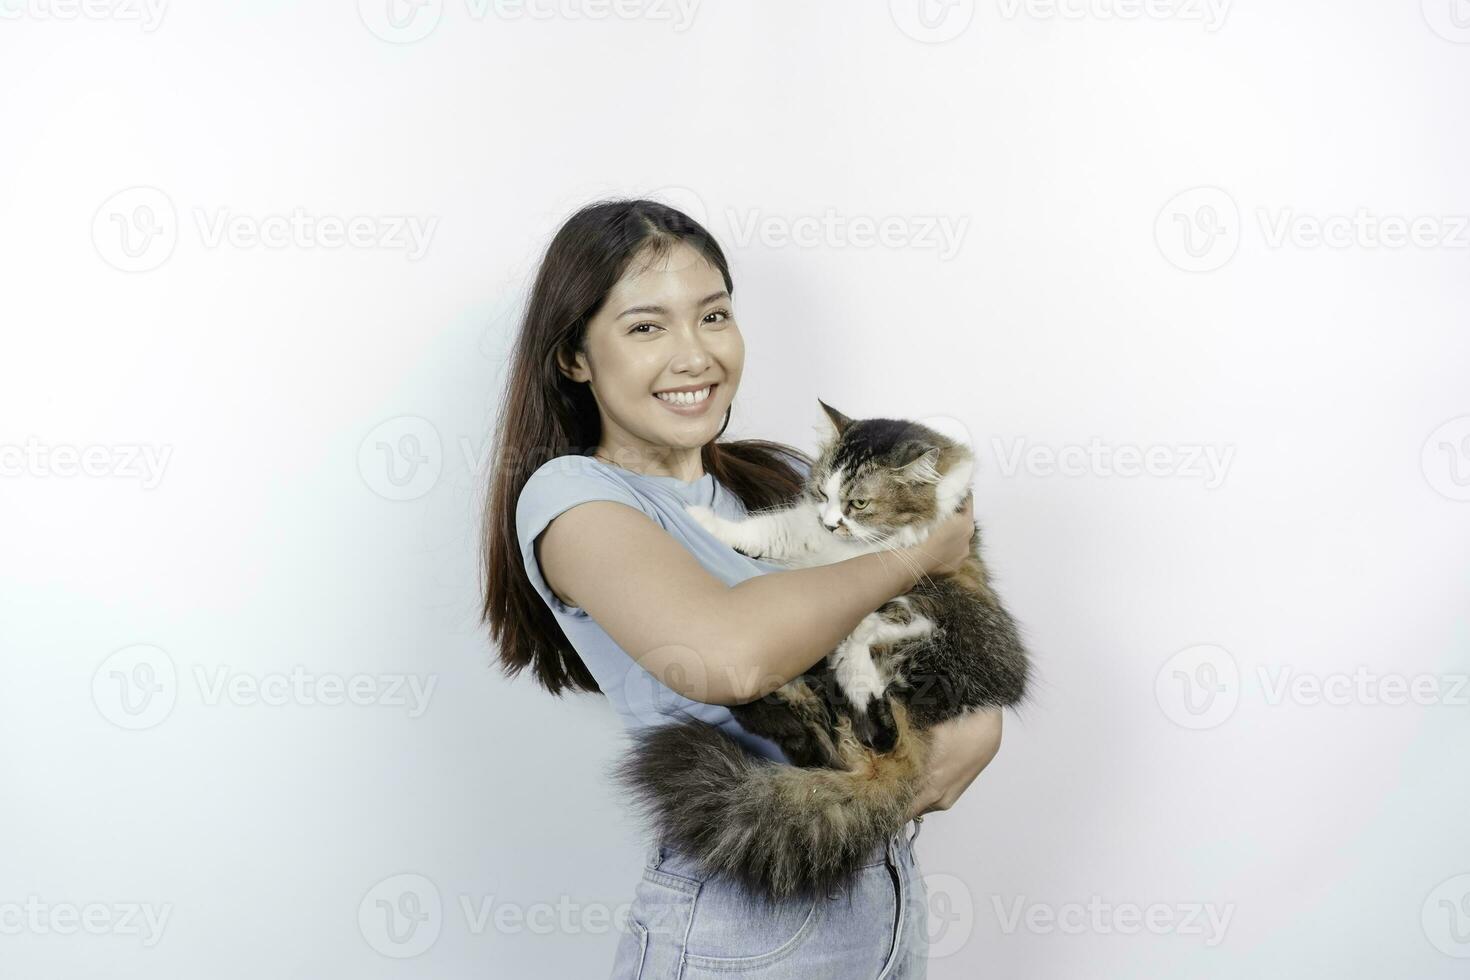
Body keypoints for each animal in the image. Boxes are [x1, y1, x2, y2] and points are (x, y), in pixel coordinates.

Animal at [608, 399, 1034, 905]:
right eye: (822, 492)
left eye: (859, 503)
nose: (831, 522)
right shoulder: (800, 531)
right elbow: (763, 530)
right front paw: (705, 520)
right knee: (824, 727)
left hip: (945, 615)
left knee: (871, 671)